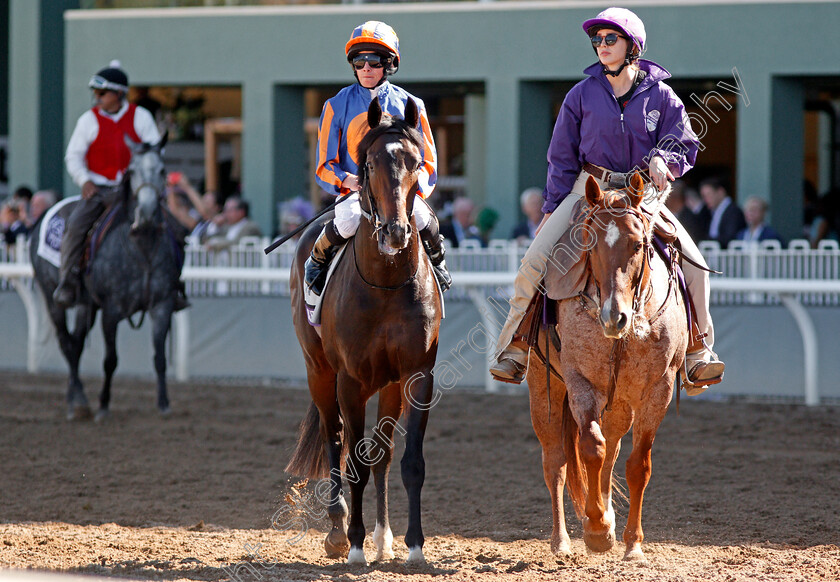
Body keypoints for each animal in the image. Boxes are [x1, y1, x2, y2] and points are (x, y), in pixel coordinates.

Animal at [30, 135, 184, 422]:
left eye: (162, 170)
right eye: (132, 170)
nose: (147, 213)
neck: (142, 248)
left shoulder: (163, 304)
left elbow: (159, 357)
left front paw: (164, 404)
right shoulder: (111, 310)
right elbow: (110, 360)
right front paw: (103, 405)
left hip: (86, 305)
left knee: (76, 344)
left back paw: (76, 399)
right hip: (52, 295)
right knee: (66, 342)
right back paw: (78, 402)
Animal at [284, 98, 440, 568]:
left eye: (414, 162)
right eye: (369, 164)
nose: (396, 231)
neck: (385, 283)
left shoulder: (416, 375)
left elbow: (408, 461)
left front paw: (413, 545)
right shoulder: (350, 379)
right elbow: (352, 457)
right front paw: (354, 544)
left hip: (386, 384)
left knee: (382, 454)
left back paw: (383, 537)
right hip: (319, 371)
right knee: (334, 439)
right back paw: (337, 531)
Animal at [528, 176, 684, 564]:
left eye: (639, 243)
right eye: (591, 242)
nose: (615, 317)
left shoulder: (658, 390)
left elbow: (637, 465)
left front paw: (632, 544)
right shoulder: (580, 383)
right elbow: (590, 448)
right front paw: (596, 529)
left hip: (620, 405)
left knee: (612, 451)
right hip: (544, 390)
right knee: (556, 461)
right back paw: (561, 541)